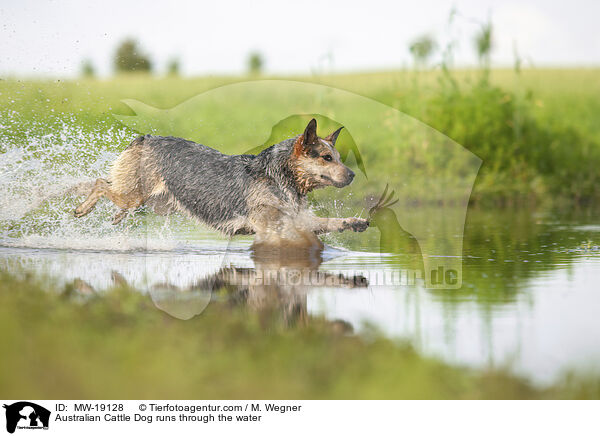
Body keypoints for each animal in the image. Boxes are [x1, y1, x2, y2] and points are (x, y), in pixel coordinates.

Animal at [72, 117, 368, 250]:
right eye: (327, 158)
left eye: (339, 157)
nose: (353, 175)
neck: (280, 175)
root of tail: (144, 138)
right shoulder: (271, 224)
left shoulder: (297, 219)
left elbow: (327, 222)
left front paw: (354, 222)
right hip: (135, 194)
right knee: (99, 183)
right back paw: (82, 209)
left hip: (153, 202)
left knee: (109, 190)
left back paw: (115, 216)